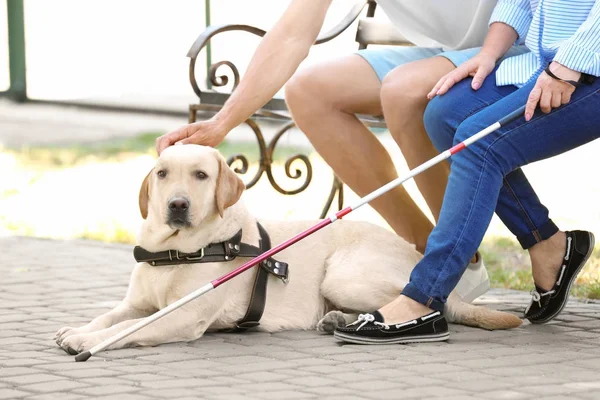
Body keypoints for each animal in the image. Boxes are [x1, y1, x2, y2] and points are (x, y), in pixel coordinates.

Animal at [55, 145, 520, 354]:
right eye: (162, 174)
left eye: (201, 175)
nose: (177, 205)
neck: (175, 252)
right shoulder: (136, 303)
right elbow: (108, 317)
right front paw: (78, 328)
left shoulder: (179, 316)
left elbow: (124, 330)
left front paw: (85, 342)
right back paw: (336, 319)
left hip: (344, 274)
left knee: (422, 305)